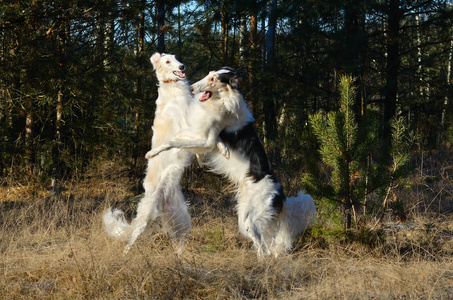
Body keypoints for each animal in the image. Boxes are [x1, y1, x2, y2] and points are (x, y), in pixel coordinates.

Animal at [104, 53, 196, 255]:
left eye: (176, 58)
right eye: (168, 61)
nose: (183, 66)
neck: (172, 89)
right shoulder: (186, 121)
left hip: (182, 220)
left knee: (179, 244)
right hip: (146, 219)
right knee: (130, 240)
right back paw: (124, 256)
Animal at [147, 68, 316, 258]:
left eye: (214, 79)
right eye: (209, 74)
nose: (191, 87)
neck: (224, 100)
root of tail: (281, 196)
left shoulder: (206, 139)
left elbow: (172, 141)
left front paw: (152, 153)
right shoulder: (203, 135)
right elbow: (195, 143)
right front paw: (206, 157)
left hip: (251, 219)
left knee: (265, 251)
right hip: (245, 217)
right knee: (267, 247)